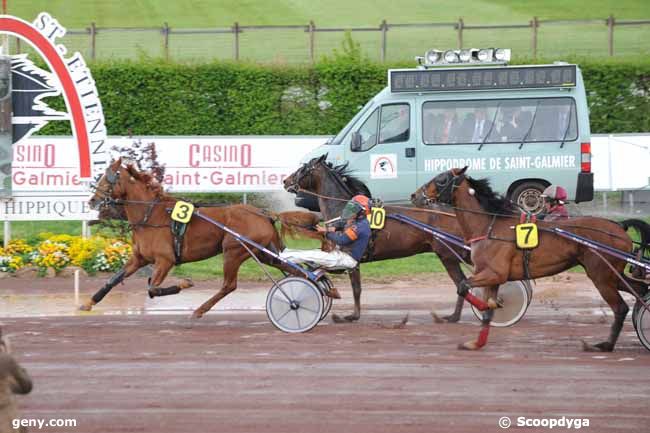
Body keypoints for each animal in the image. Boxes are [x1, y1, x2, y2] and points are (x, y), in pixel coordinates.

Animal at [82, 159, 302, 318]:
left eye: (108, 178)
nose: (92, 201)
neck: (150, 215)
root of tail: (264, 214)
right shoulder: (139, 258)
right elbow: (113, 280)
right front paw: (88, 303)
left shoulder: (165, 260)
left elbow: (152, 288)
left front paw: (185, 283)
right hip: (264, 253)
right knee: (294, 270)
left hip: (234, 251)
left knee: (229, 285)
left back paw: (199, 310)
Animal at [284, 154, 470, 320]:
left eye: (304, 168)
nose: (286, 181)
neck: (345, 212)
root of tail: (455, 212)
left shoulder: (349, 259)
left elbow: (355, 288)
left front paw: (353, 315)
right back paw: (455, 316)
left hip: (448, 255)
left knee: (463, 282)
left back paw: (456, 316)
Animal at [412, 165, 644, 352]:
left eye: (441, 179)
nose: (415, 195)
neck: (489, 226)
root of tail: (619, 226)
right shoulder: (493, 278)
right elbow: (486, 310)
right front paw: (476, 342)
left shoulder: (493, 273)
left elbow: (463, 286)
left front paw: (489, 307)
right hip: (612, 275)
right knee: (639, 291)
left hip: (602, 276)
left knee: (621, 308)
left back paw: (606, 345)